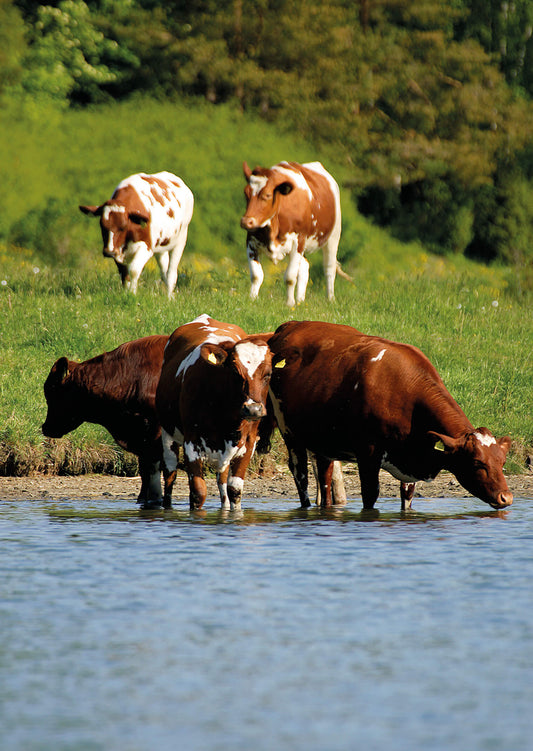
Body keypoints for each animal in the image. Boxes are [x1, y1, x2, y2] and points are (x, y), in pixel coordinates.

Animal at [42, 335, 172, 508]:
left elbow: (152, 467)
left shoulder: (154, 431)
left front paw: (154, 500)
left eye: (53, 393)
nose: (46, 428)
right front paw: (142, 499)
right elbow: (144, 469)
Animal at [155, 314, 272, 510]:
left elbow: (235, 491)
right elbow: (198, 492)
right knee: (170, 473)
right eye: (235, 371)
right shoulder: (191, 441)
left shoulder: (249, 443)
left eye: (268, 374)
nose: (253, 409)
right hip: (167, 433)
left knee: (222, 481)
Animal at [241, 160, 342, 306]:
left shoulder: (297, 242)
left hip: (333, 236)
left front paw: (289, 303)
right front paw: (252, 299)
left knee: (329, 268)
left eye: (267, 195)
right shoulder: (251, 241)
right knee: (305, 266)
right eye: (246, 193)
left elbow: (290, 277)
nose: (246, 221)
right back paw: (300, 300)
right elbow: (256, 275)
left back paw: (330, 299)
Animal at [267, 320, 513, 512]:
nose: (507, 497)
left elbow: (407, 497)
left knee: (325, 478)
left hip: (323, 442)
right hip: (289, 433)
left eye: (502, 461)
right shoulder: (368, 453)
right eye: (477, 462)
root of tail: (290, 326)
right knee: (300, 477)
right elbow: (370, 495)